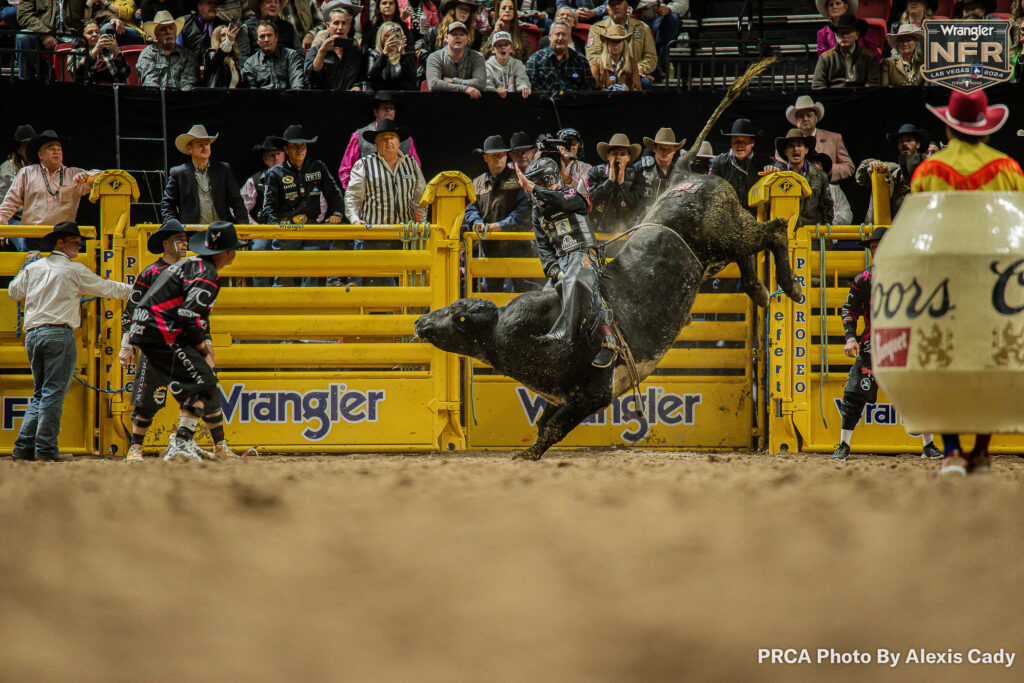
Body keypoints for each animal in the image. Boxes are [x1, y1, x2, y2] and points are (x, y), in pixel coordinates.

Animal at [411, 61, 802, 462]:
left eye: (459, 315)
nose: (421, 321)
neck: (502, 332)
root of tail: (683, 173)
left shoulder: (594, 392)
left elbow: (553, 426)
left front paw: (530, 454)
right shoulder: (562, 395)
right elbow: (545, 421)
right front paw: (530, 450)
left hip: (724, 231)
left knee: (773, 230)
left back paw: (791, 287)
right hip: (717, 249)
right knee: (748, 250)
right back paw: (759, 290)